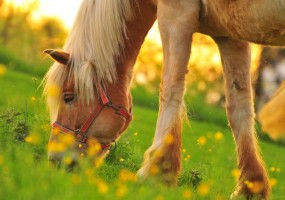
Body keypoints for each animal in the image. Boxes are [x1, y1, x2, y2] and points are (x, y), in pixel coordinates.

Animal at [42, 0, 284, 199]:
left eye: (68, 97)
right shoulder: (231, 35)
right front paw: (251, 187)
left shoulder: (175, 15)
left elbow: (170, 88)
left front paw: (157, 171)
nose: (55, 159)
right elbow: (239, 108)